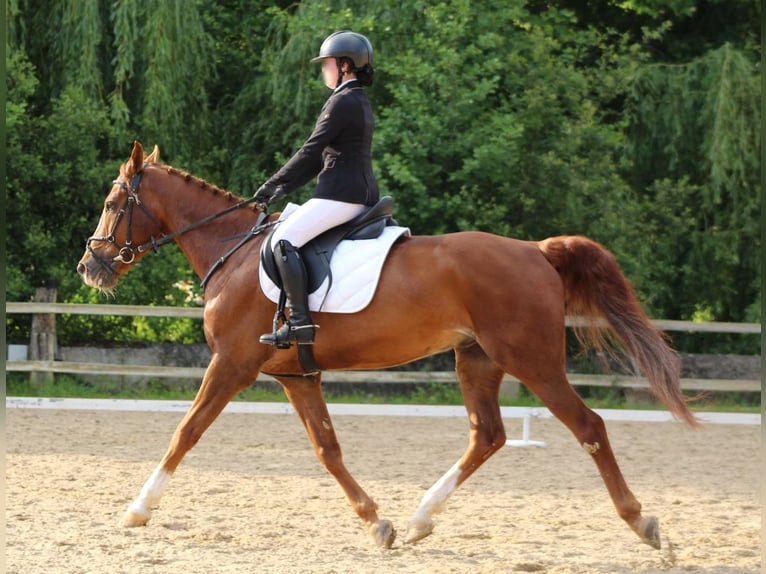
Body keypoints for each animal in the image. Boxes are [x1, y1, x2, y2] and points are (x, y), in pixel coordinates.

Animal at [79, 141, 704, 552]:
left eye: (113, 203)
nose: (90, 267)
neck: (232, 249)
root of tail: (535, 249)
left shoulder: (231, 364)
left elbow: (185, 432)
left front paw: (137, 509)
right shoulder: (296, 375)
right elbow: (328, 449)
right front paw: (376, 522)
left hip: (531, 361)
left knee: (588, 426)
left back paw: (642, 523)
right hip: (476, 358)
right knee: (488, 435)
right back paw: (423, 517)